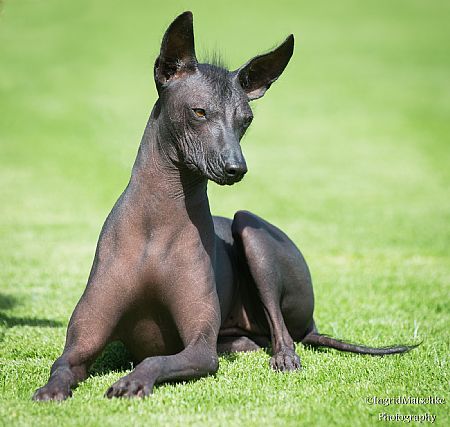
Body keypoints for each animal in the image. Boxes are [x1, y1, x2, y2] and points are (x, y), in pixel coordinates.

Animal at [33, 12, 416, 402]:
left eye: (246, 120)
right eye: (199, 111)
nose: (237, 168)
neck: (157, 224)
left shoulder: (200, 346)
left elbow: (156, 359)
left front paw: (133, 380)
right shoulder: (82, 341)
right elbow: (61, 365)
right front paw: (51, 390)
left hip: (252, 232)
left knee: (283, 331)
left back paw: (284, 357)